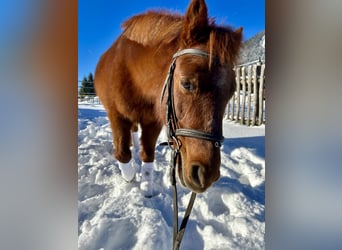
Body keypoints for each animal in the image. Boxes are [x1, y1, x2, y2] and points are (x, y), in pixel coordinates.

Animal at [95, 0, 242, 194]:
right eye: (186, 84)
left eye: (231, 92)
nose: (206, 175)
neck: (131, 75)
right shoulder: (116, 116)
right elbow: (123, 154)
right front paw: (130, 177)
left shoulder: (153, 120)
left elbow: (148, 154)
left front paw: (146, 187)